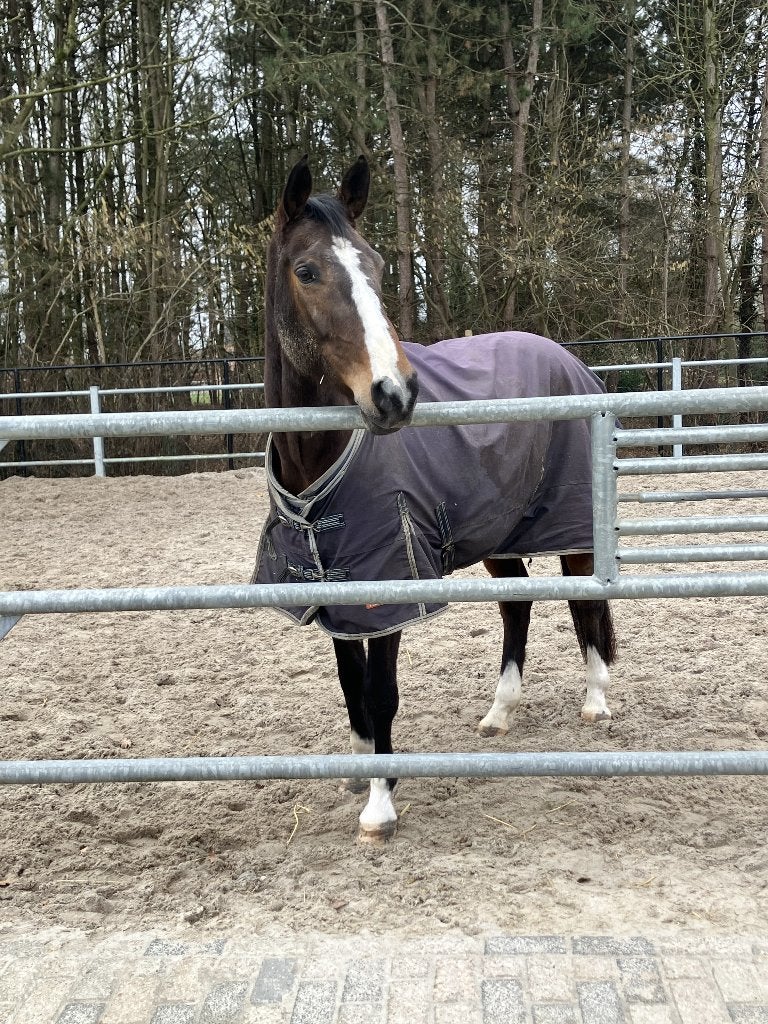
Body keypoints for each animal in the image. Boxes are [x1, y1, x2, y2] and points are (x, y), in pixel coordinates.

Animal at [253, 155, 616, 843]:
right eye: (307, 270)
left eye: (374, 263)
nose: (395, 393)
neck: (323, 459)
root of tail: (569, 361)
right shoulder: (340, 589)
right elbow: (352, 689)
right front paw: (362, 772)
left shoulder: (391, 587)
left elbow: (381, 694)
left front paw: (381, 804)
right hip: (502, 533)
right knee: (516, 605)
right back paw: (499, 713)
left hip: (573, 525)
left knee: (585, 606)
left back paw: (596, 701)